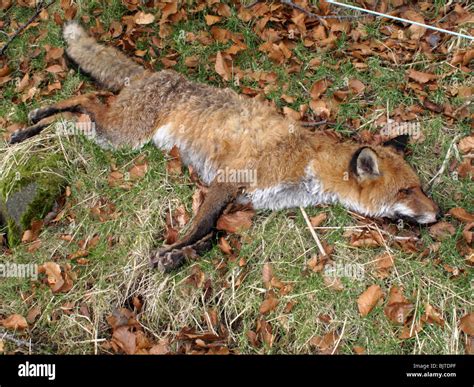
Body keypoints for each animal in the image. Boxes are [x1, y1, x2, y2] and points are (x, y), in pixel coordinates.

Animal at [10, 21, 440, 270]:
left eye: (420, 187)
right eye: (406, 191)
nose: (438, 215)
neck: (306, 164)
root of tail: (154, 74)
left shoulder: (242, 202)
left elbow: (212, 236)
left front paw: (177, 258)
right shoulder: (228, 180)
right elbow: (200, 225)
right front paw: (174, 250)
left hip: (114, 133)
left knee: (81, 107)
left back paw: (35, 122)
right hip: (122, 136)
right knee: (82, 101)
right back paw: (29, 128)